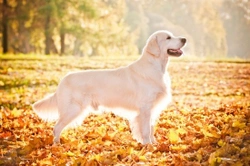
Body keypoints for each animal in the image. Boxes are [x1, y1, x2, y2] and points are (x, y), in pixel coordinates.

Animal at [32, 30, 187, 145]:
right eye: (168, 37)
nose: (184, 39)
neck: (155, 66)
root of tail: (63, 80)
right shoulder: (145, 108)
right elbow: (145, 130)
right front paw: (147, 146)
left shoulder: (152, 108)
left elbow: (151, 127)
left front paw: (154, 144)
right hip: (72, 109)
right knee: (56, 127)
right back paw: (57, 145)